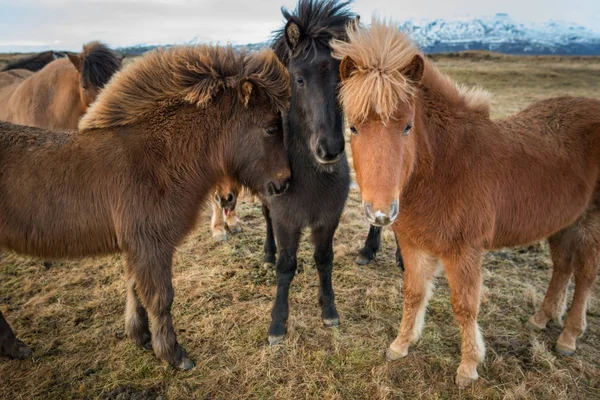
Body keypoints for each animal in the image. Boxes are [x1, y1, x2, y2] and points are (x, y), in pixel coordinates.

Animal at [0, 43, 290, 368]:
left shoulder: (135, 246)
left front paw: (140, 337)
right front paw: (173, 354)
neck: (157, 159)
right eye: (271, 128)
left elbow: (135, 289)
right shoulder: (150, 244)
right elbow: (160, 297)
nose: (285, 183)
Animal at [264, 0, 354, 344]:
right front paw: (278, 324)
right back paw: (267, 254)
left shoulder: (328, 218)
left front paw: (329, 310)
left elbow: (324, 260)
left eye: (343, 79)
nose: (329, 149)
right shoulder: (285, 220)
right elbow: (286, 267)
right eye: (299, 79)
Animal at [332, 20, 600, 390]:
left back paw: (569, 337)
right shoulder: (414, 244)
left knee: (585, 274)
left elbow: (464, 306)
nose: (381, 213)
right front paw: (401, 345)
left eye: (407, 127)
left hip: (590, 220)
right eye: (354, 127)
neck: (445, 168)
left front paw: (468, 366)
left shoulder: (464, 252)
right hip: (564, 221)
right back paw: (541, 318)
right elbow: (413, 293)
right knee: (562, 267)